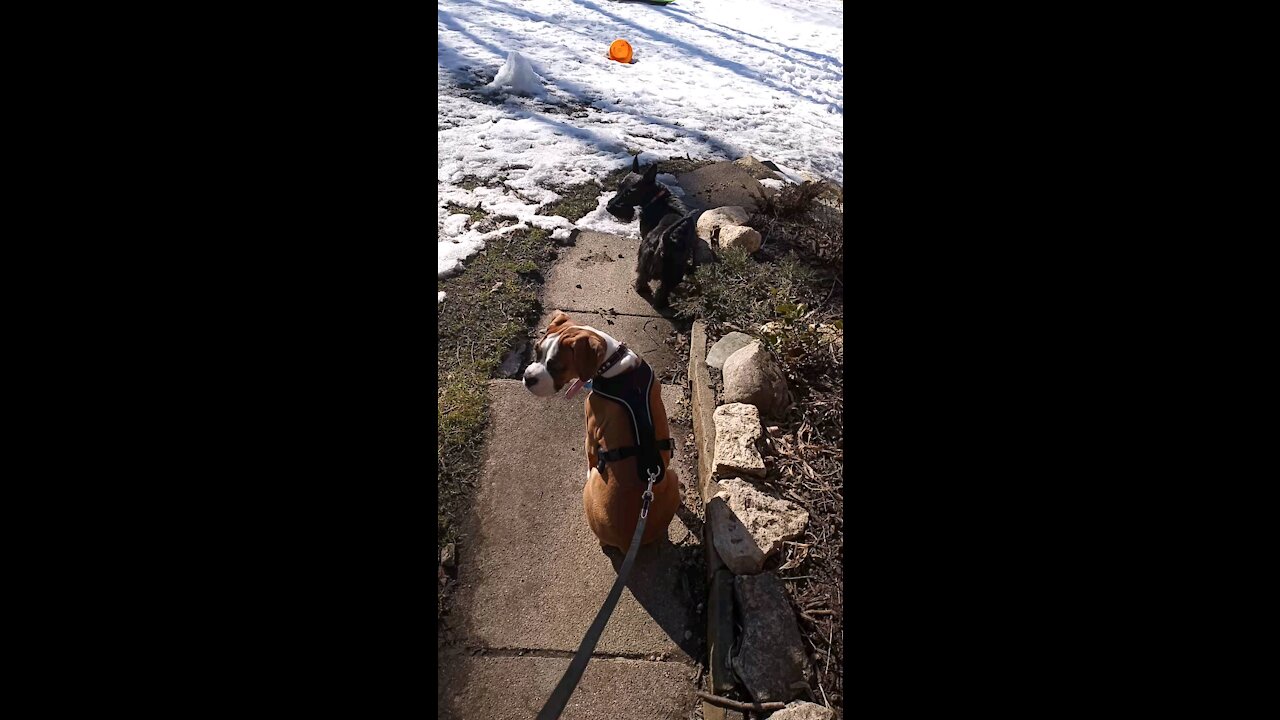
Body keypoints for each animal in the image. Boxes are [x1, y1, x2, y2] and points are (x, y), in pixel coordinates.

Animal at [519, 308, 680, 548]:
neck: (612, 364)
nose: (528, 378)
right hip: (672, 477)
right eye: (537, 351)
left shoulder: (591, 434)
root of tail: (627, 541)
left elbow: (590, 455)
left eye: (556, 367)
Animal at [606, 156, 701, 308]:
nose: (609, 207)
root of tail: (664, 240)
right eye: (619, 186)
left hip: (646, 263)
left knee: (642, 280)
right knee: (662, 290)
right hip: (672, 274)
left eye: (630, 192)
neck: (656, 196)